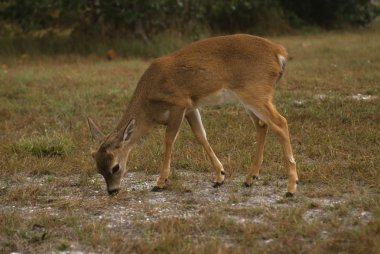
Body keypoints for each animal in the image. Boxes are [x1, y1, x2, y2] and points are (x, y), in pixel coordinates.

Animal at [88, 33, 300, 196]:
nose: (112, 191)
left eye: (115, 167)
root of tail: (280, 53)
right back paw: (250, 178)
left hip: (255, 92)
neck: (149, 106)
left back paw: (291, 187)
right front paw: (219, 176)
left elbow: (169, 139)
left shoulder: (179, 103)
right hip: (250, 98)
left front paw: (160, 182)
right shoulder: (191, 107)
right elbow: (201, 136)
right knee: (262, 126)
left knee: (280, 123)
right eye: (98, 168)